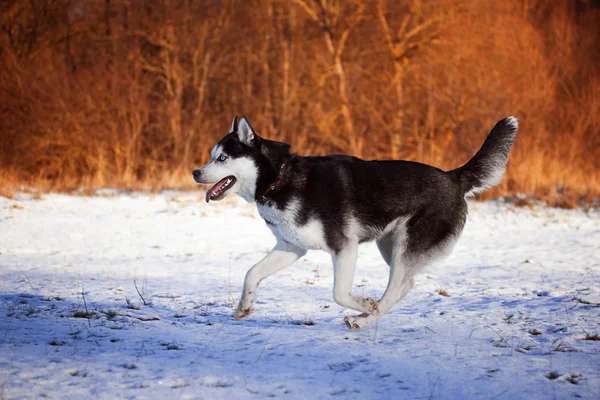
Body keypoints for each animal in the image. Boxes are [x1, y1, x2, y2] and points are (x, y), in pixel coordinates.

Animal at [192, 115, 516, 328]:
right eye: (211, 156)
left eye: (222, 158)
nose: (195, 172)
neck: (279, 179)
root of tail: (453, 177)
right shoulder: (291, 247)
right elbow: (251, 273)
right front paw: (245, 306)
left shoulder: (344, 248)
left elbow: (339, 293)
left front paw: (363, 304)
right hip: (390, 246)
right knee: (406, 283)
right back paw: (366, 318)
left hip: (405, 246)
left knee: (397, 286)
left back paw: (366, 317)